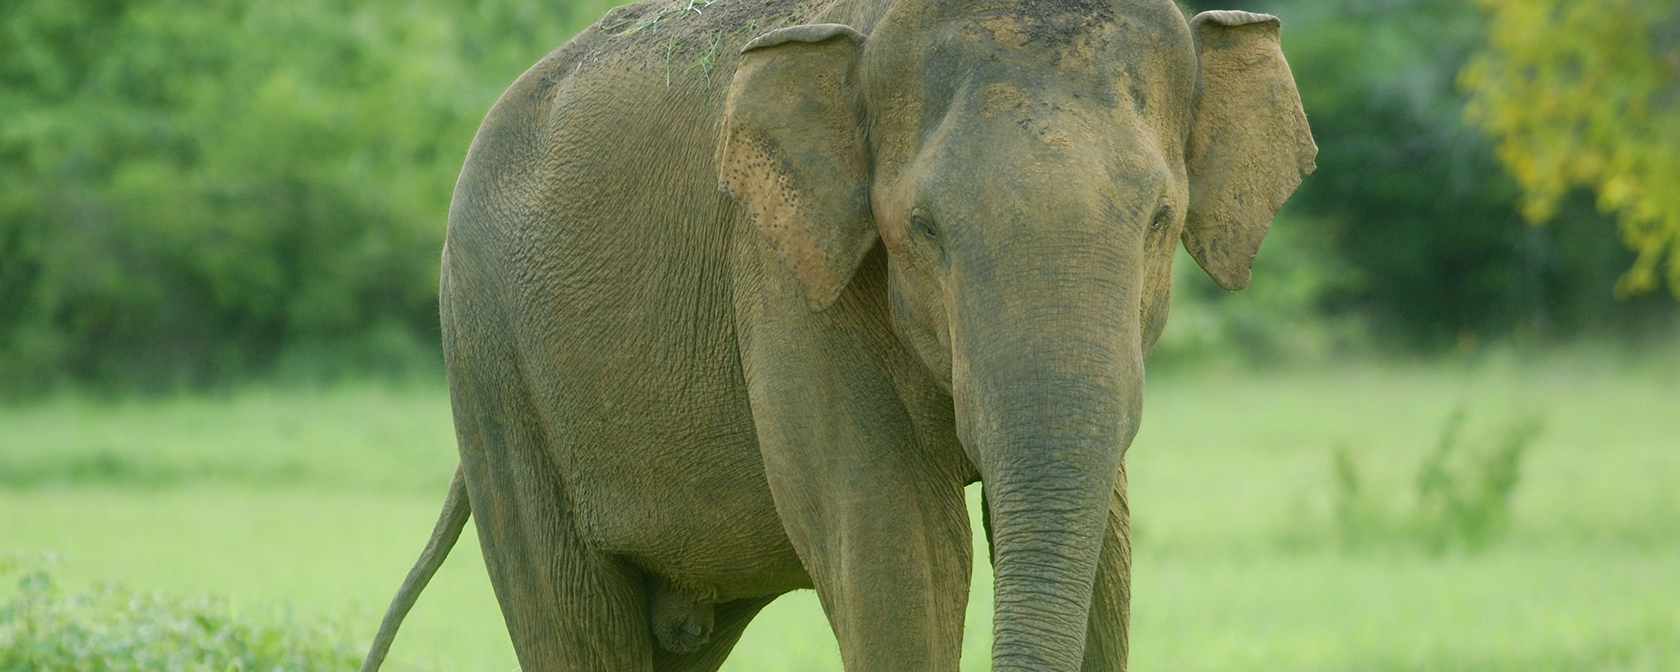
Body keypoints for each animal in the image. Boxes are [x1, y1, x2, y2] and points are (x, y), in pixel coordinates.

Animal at [361, 0, 1317, 668]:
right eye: (922, 228)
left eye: (1162, 219)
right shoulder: (784, 278)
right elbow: (909, 559)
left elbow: (1105, 562)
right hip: (491, 364)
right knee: (574, 621)